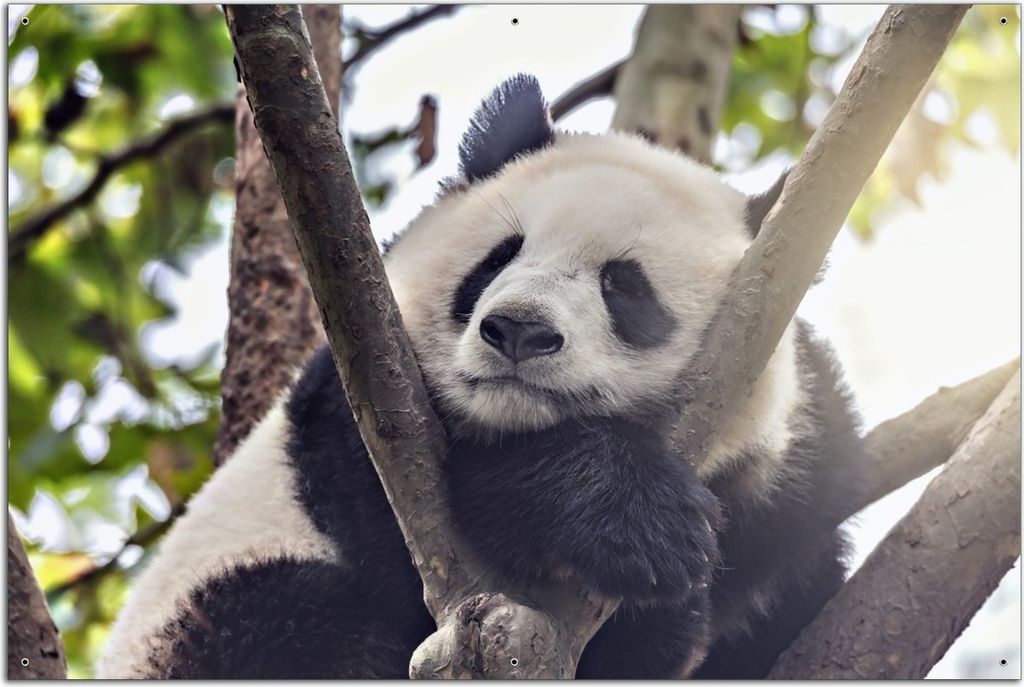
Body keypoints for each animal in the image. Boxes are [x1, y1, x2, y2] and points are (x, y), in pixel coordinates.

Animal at [98, 74, 864, 679]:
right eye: (498, 258)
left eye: (624, 287)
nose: (518, 329)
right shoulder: (360, 388)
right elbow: (411, 516)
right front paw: (634, 523)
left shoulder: (792, 480)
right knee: (293, 622)